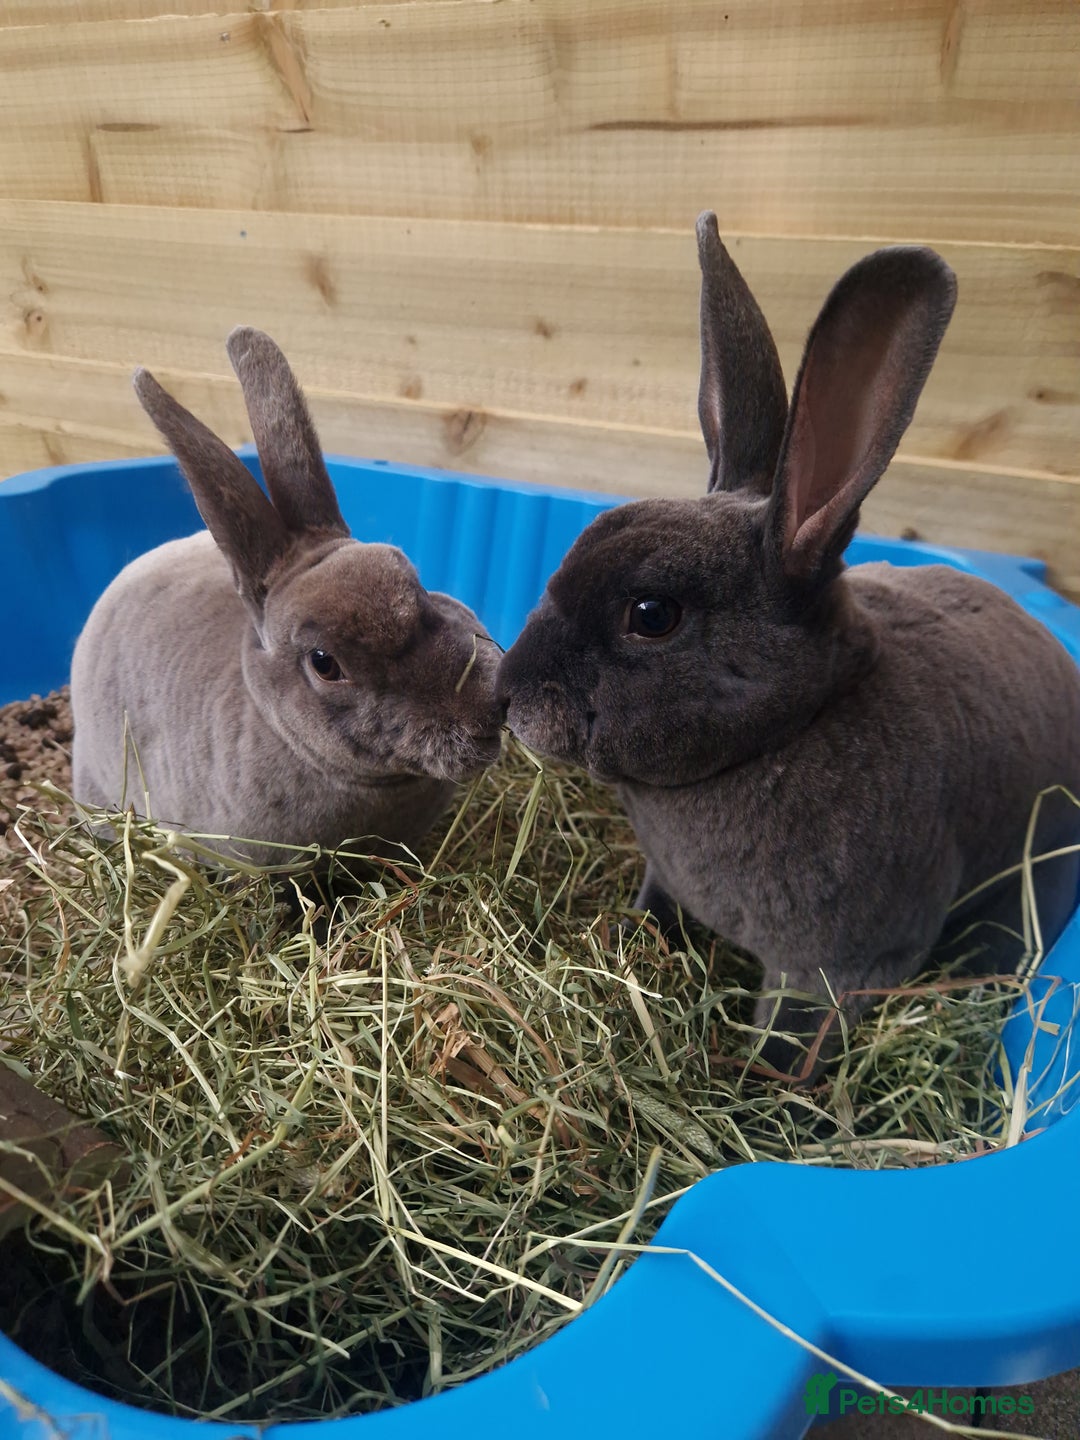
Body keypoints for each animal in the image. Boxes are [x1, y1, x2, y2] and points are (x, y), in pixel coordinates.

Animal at [497, 212, 1080, 1080]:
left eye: (651, 614)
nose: (504, 690)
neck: (790, 727)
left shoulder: (835, 970)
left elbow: (791, 1041)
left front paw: (750, 1088)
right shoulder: (665, 877)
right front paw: (629, 942)